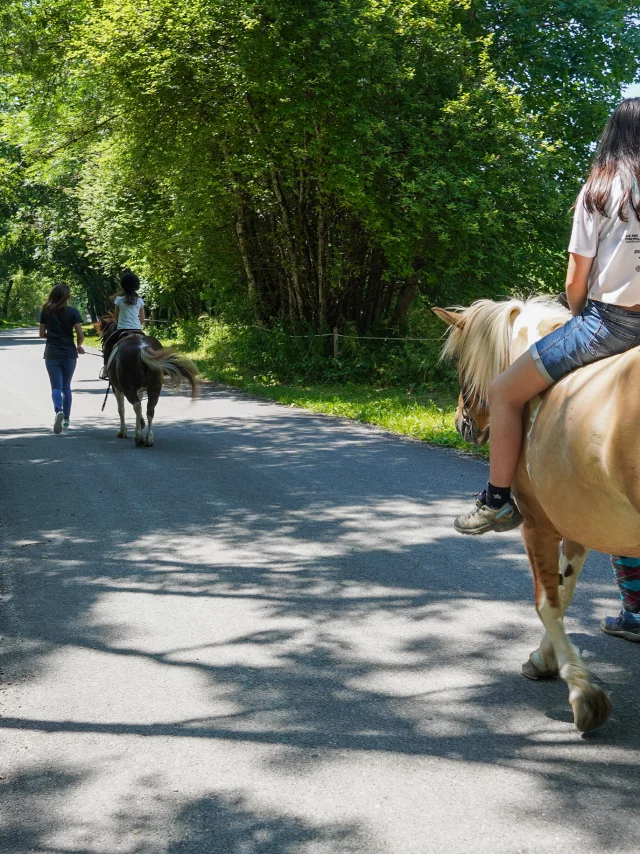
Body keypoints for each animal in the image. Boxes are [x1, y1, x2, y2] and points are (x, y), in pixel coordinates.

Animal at [96, 316, 198, 448]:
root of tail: (143, 349)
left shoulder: (117, 388)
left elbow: (121, 409)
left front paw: (122, 431)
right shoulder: (139, 389)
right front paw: (140, 424)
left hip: (128, 387)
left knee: (137, 406)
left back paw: (139, 438)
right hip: (154, 387)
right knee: (150, 409)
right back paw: (149, 439)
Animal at [432, 298, 636, 732]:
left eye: (460, 365)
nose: (460, 423)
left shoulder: (539, 525)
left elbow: (547, 602)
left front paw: (582, 692)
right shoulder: (579, 522)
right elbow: (564, 590)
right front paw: (544, 660)